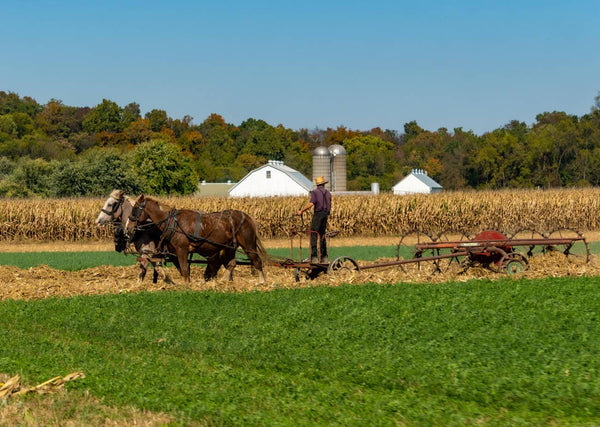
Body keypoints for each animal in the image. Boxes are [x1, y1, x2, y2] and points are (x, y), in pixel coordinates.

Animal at [127, 195, 266, 284]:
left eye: (135, 210)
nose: (128, 228)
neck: (172, 222)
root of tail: (248, 217)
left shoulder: (181, 250)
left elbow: (184, 269)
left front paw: (187, 286)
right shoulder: (174, 252)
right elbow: (182, 269)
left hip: (248, 245)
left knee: (257, 261)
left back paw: (262, 282)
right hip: (230, 246)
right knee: (232, 264)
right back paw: (223, 281)